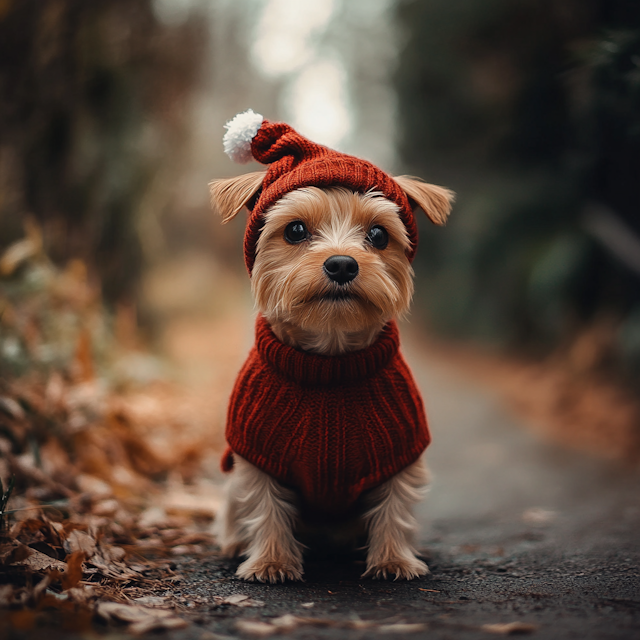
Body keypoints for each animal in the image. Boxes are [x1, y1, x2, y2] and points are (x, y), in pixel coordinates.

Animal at [209, 111, 450, 584]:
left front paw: (394, 561)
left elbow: (394, 506)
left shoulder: (400, 451)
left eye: (378, 235)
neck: (330, 361)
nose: (341, 264)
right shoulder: (256, 455)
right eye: (295, 230)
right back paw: (234, 545)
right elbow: (265, 506)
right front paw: (271, 562)